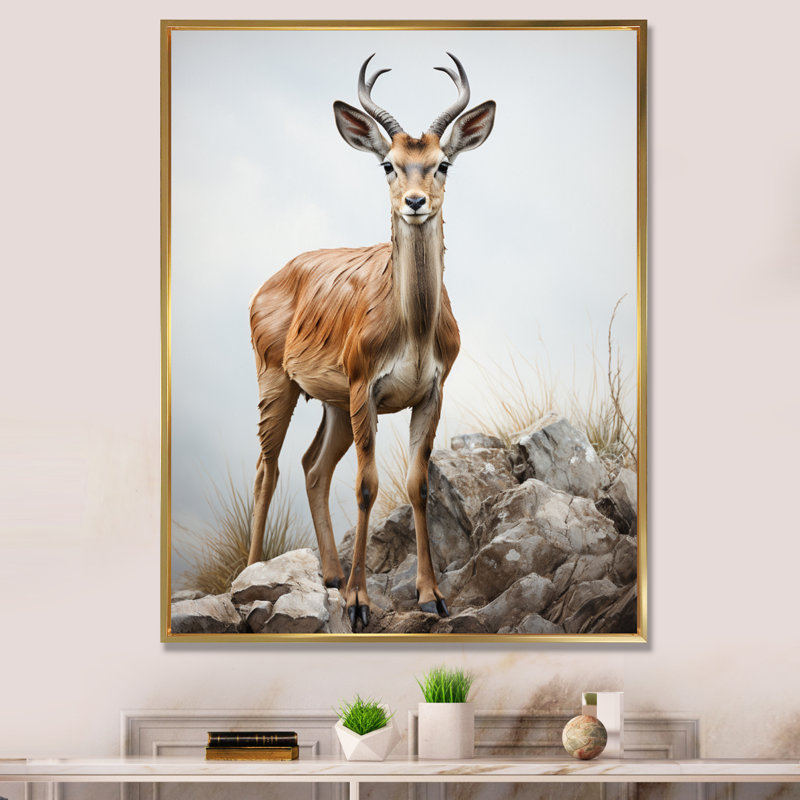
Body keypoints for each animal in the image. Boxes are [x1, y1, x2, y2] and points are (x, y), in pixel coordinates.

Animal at [247, 53, 495, 631]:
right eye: (389, 164)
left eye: (443, 163)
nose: (415, 202)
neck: (414, 329)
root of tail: (273, 279)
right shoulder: (367, 389)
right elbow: (366, 487)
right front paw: (361, 603)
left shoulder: (429, 394)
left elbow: (418, 485)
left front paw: (431, 596)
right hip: (278, 384)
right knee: (268, 468)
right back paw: (254, 576)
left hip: (334, 405)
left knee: (312, 468)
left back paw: (332, 577)